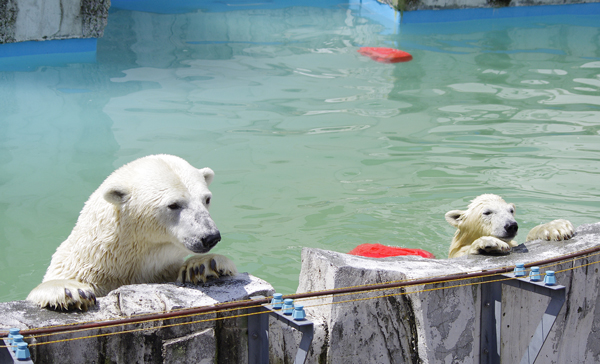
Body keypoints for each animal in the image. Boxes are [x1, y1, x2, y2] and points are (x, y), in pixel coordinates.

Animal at [27, 154, 237, 310]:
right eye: (173, 204)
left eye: (206, 199)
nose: (210, 237)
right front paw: (69, 291)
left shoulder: (162, 271)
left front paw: (204, 265)